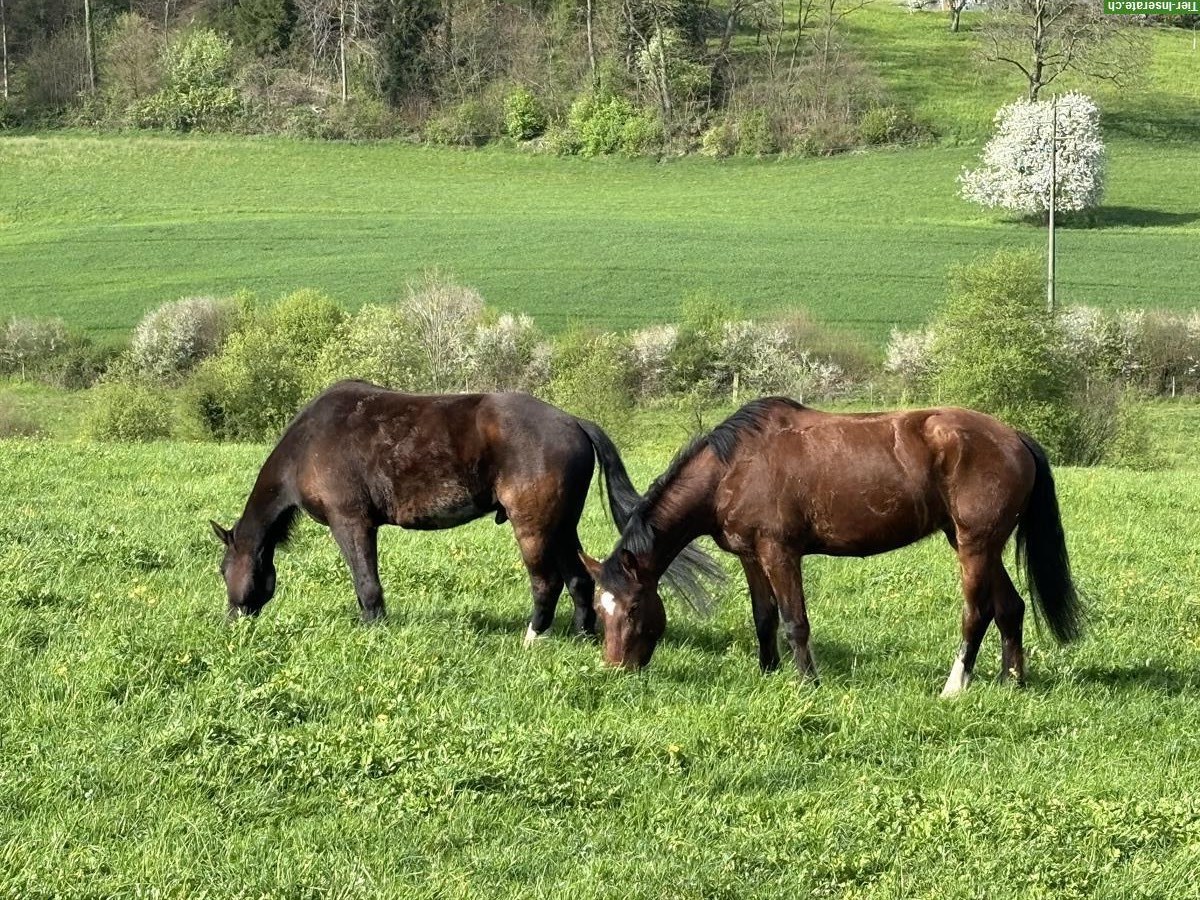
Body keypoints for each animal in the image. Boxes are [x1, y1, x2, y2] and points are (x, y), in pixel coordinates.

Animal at [207, 381, 715, 643]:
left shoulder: (350, 522)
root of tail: (573, 421)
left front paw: (374, 629)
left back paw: (534, 636)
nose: (232, 620)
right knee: (578, 579)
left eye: (222, 569)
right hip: (560, 526)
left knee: (547, 582)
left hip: (534, 528)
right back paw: (585, 635)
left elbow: (366, 582)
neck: (310, 443)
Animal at [583, 398, 1089, 700]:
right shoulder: (750, 554)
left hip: (974, 546)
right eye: (599, 610)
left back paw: (954, 686)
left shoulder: (779, 552)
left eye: (632, 608)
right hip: (983, 545)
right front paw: (767, 673)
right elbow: (764, 617)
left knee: (977, 611)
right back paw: (1012, 681)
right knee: (1011, 607)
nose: (614, 670)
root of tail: (1015, 437)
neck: (733, 467)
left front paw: (807, 683)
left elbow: (795, 622)